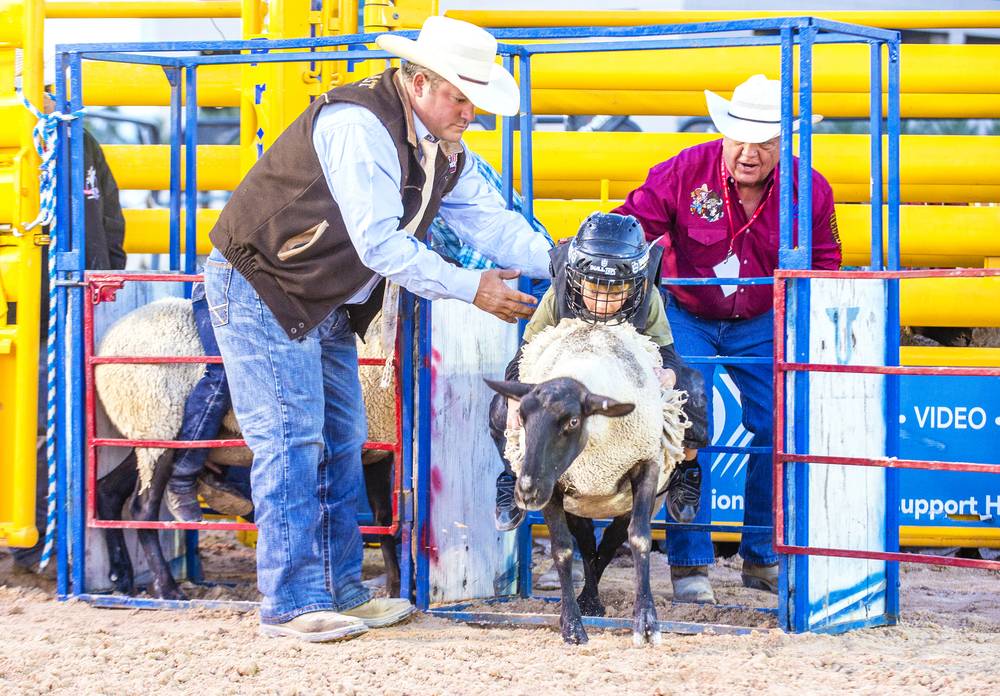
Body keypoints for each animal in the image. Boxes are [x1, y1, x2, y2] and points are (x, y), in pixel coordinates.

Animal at [488, 318, 692, 644]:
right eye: (521, 416)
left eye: (573, 421)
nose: (527, 490)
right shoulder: (555, 488)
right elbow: (562, 549)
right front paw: (572, 626)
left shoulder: (646, 465)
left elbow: (640, 538)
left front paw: (647, 623)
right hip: (578, 505)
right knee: (586, 544)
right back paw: (589, 600)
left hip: (630, 503)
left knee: (609, 543)